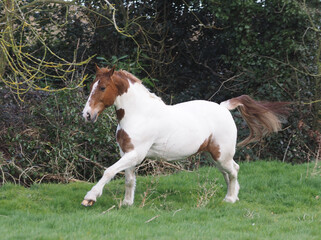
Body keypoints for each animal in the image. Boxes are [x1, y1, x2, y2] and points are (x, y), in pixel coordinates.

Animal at [80, 65, 288, 206]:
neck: (140, 114)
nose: (87, 115)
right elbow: (129, 179)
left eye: (102, 88)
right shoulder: (127, 153)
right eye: (91, 86)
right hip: (212, 155)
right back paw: (233, 196)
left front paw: (90, 198)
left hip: (221, 154)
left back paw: (229, 199)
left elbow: (109, 171)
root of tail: (223, 107)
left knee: (234, 170)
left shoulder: (136, 154)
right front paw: (127, 204)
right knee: (228, 173)